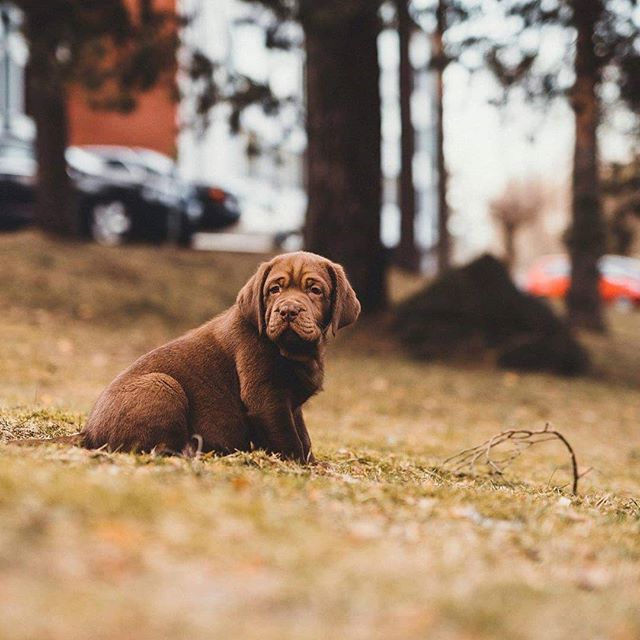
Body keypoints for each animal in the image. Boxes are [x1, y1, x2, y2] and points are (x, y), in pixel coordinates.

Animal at [82, 250, 360, 460]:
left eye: (315, 290)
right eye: (274, 289)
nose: (288, 310)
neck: (296, 352)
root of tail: (89, 431)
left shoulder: (291, 405)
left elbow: (303, 435)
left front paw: (313, 463)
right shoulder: (266, 398)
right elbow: (288, 438)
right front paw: (299, 464)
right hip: (161, 383)